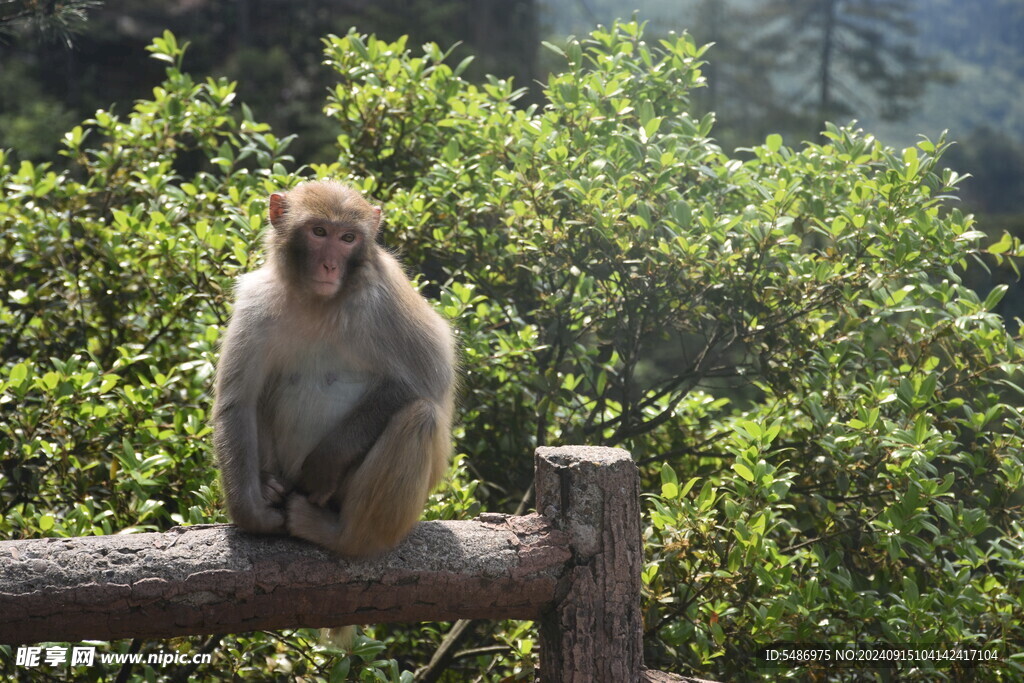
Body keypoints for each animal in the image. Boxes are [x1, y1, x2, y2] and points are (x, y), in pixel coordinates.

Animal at [212, 179, 456, 557]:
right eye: (319, 232)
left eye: (348, 238)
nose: (329, 266)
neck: (318, 302)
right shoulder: (257, 302)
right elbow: (239, 402)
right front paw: (253, 513)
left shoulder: (384, 295)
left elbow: (429, 377)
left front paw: (324, 462)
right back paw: (268, 486)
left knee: (422, 416)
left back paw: (342, 535)